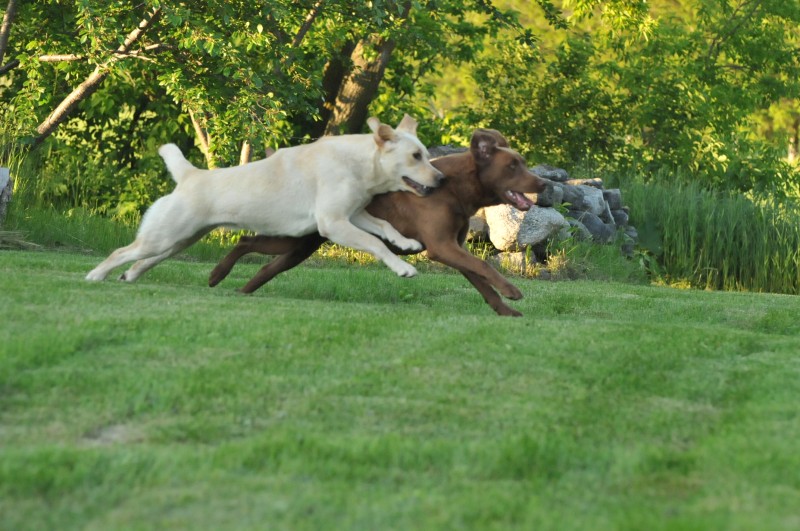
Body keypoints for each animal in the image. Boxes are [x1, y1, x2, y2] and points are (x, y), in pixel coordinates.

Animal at [209, 130, 548, 316]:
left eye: (522, 163)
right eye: (512, 166)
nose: (543, 184)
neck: (454, 188)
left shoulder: (454, 248)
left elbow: (482, 282)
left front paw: (506, 311)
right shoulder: (441, 247)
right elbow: (485, 267)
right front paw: (512, 291)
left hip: (300, 248)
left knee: (265, 268)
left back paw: (240, 291)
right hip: (289, 237)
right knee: (246, 241)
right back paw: (216, 275)